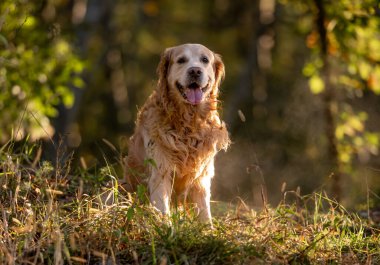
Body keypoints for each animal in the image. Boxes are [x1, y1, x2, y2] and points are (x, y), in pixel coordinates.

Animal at [126, 43, 230, 223]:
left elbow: (205, 215)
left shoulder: (201, 179)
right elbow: (163, 211)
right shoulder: (160, 172)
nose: (195, 71)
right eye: (181, 60)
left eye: (205, 60)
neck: (188, 124)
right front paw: (166, 228)